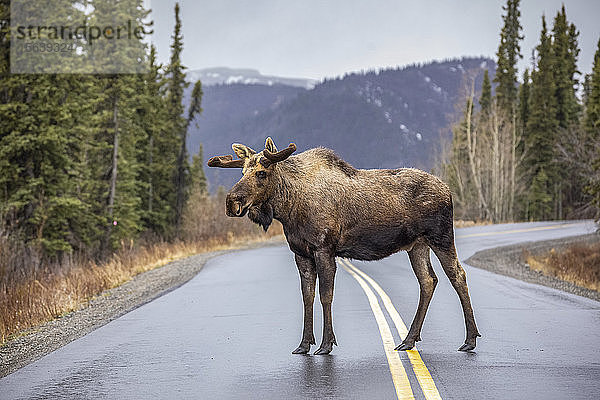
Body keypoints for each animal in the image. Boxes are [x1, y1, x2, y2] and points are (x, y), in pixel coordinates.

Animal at [209, 138, 480, 356]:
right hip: (416, 245)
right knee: (428, 280)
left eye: (262, 173)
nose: (232, 202)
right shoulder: (301, 253)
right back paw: (409, 340)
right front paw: (304, 344)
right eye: (242, 171)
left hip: (441, 236)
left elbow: (325, 295)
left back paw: (470, 339)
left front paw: (326, 344)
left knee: (457, 275)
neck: (289, 208)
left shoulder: (324, 249)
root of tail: (448, 190)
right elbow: (307, 296)